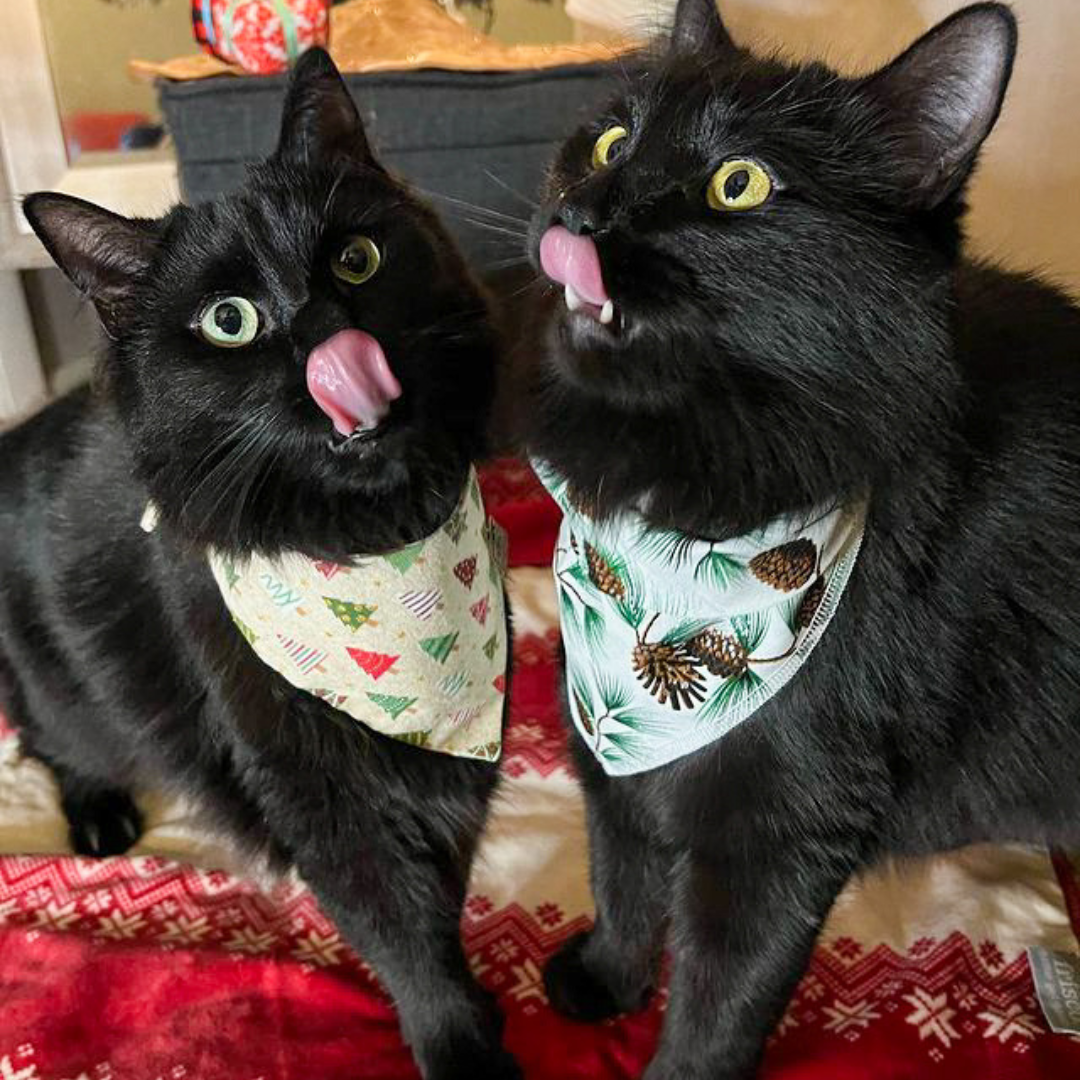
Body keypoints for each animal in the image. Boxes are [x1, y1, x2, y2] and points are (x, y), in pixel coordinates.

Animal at [0, 48, 520, 1080]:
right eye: (230, 321)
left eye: (356, 260)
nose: (328, 334)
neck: (373, 549)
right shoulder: (309, 783)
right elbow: (395, 922)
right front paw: (460, 1045)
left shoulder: (450, 767)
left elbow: (435, 896)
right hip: (59, 684)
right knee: (54, 742)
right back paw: (100, 818)